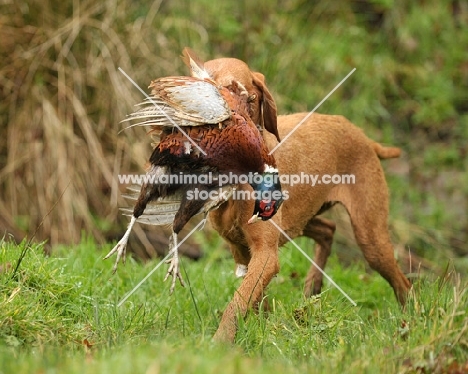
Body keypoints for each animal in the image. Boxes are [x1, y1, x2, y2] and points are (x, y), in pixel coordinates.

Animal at [195, 54, 414, 342]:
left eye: (243, 95)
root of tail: (365, 138)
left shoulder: (265, 254)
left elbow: (239, 301)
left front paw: (219, 343)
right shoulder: (241, 250)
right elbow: (253, 299)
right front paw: (259, 328)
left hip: (370, 236)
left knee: (404, 283)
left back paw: (410, 322)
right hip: (299, 219)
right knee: (328, 229)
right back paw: (313, 286)